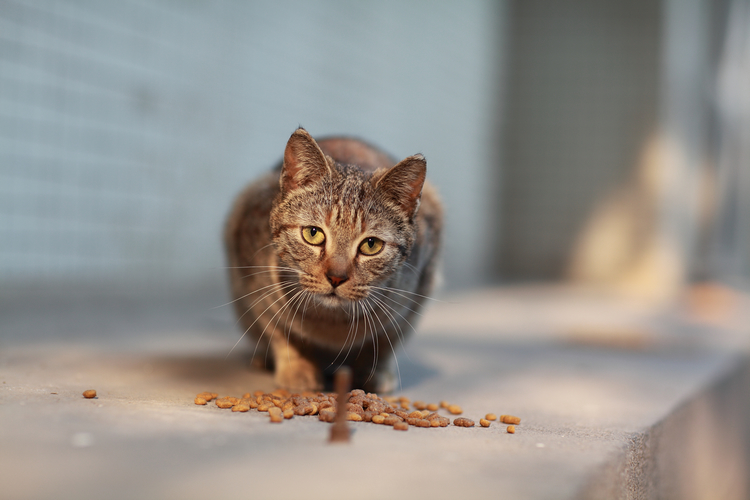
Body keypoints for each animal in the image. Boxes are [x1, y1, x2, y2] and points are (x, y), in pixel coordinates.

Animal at [226, 127, 444, 392]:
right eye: (313, 233)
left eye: (371, 245)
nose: (336, 277)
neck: (331, 323)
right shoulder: (254, 284)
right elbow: (280, 331)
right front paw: (297, 368)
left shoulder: (414, 296)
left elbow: (384, 341)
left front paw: (373, 371)